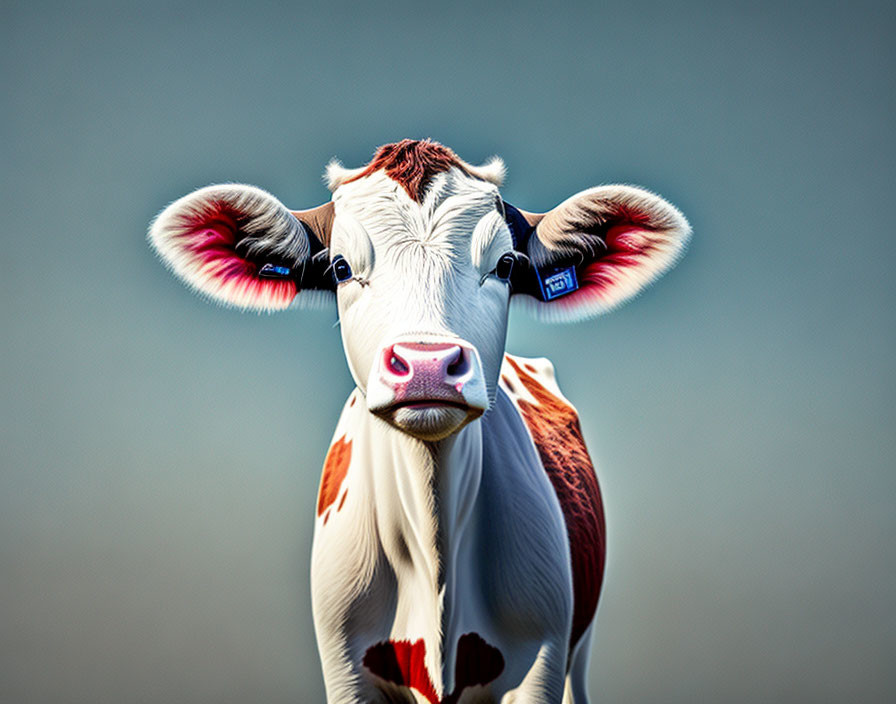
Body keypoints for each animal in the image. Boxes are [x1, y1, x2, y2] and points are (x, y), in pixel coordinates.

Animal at [150, 140, 688, 700]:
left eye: (504, 265)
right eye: (340, 267)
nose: (427, 364)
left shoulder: (541, 660)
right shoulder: (346, 669)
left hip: (576, 654)